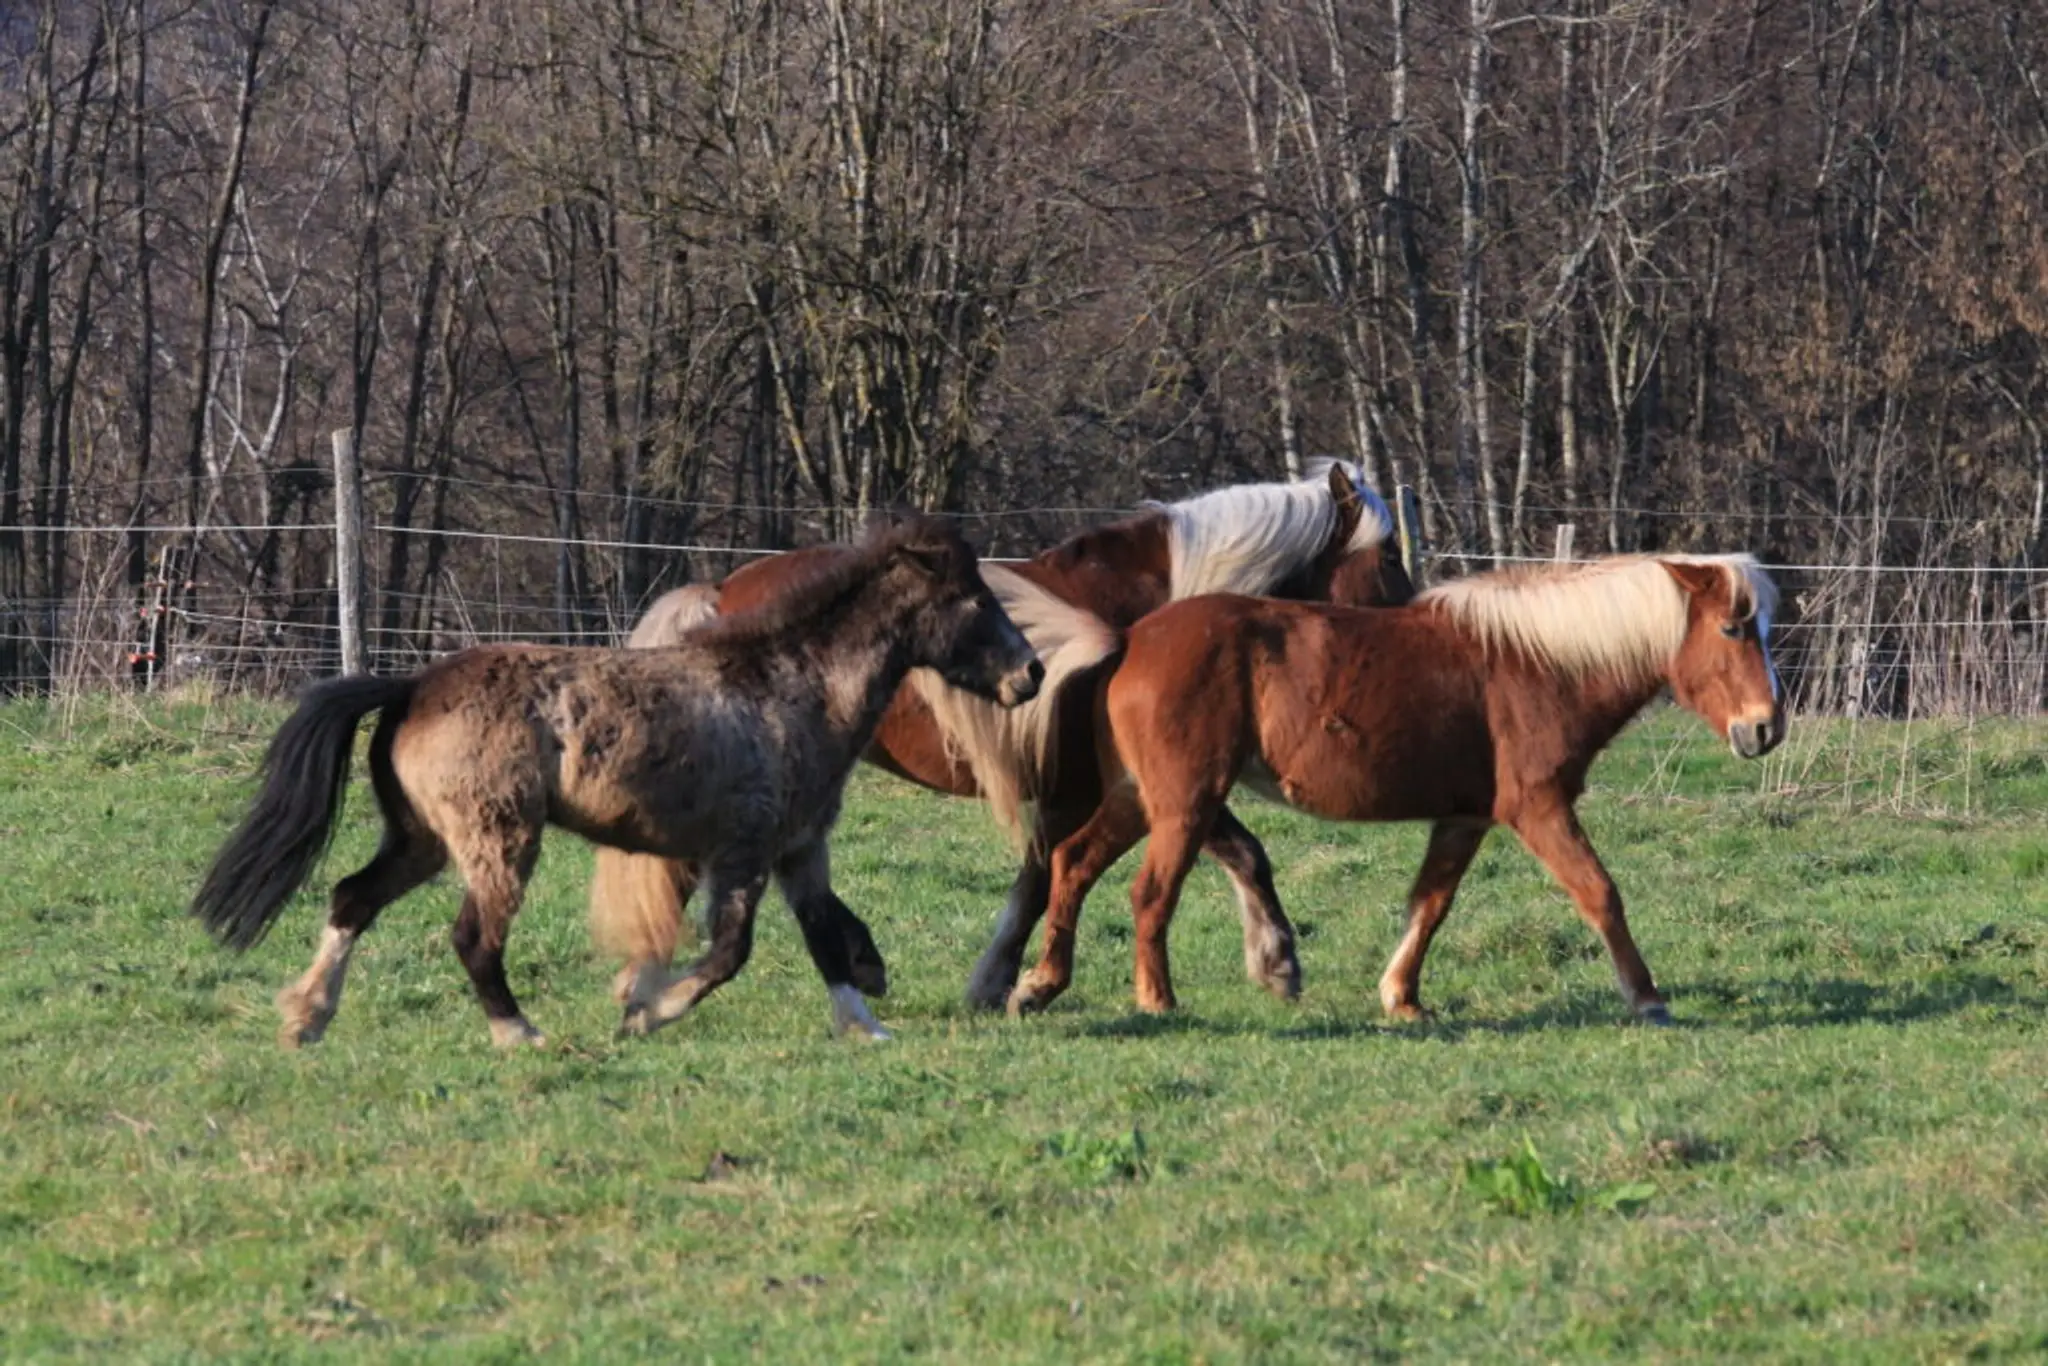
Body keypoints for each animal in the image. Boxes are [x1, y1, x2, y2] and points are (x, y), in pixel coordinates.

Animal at [189, 516, 1042, 1049]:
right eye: (971, 599)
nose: (1030, 674)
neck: (787, 688)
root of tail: (412, 686)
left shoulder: (801, 848)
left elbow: (825, 938)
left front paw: (865, 1023)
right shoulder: (744, 851)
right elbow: (728, 953)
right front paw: (644, 1011)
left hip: (422, 840)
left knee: (350, 899)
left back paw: (306, 1018)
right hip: (499, 840)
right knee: (473, 939)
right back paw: (520, 1033)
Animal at [587, 462, 1417, 1011]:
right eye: (1388, 555)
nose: (1415, 620)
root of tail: (718, 589)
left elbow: (1044, 875)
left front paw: (999, 980)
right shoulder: (1125, 783)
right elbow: (1225, 852)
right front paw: (1277, 960)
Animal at [1004, 553, 1786, 1024]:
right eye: (1732, 628)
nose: (1765, 728)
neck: (1541, 663)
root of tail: (1130, 640)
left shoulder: (1466, 818)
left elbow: (1430, 905)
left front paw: (1401, 997)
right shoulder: (1538, 807)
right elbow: (1600, 893)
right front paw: (1647, 997)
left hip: (1143, 799)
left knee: (1073, 863)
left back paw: (1040, 983)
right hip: (1183, 805)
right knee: (1149, 893)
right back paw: (1156, 999)